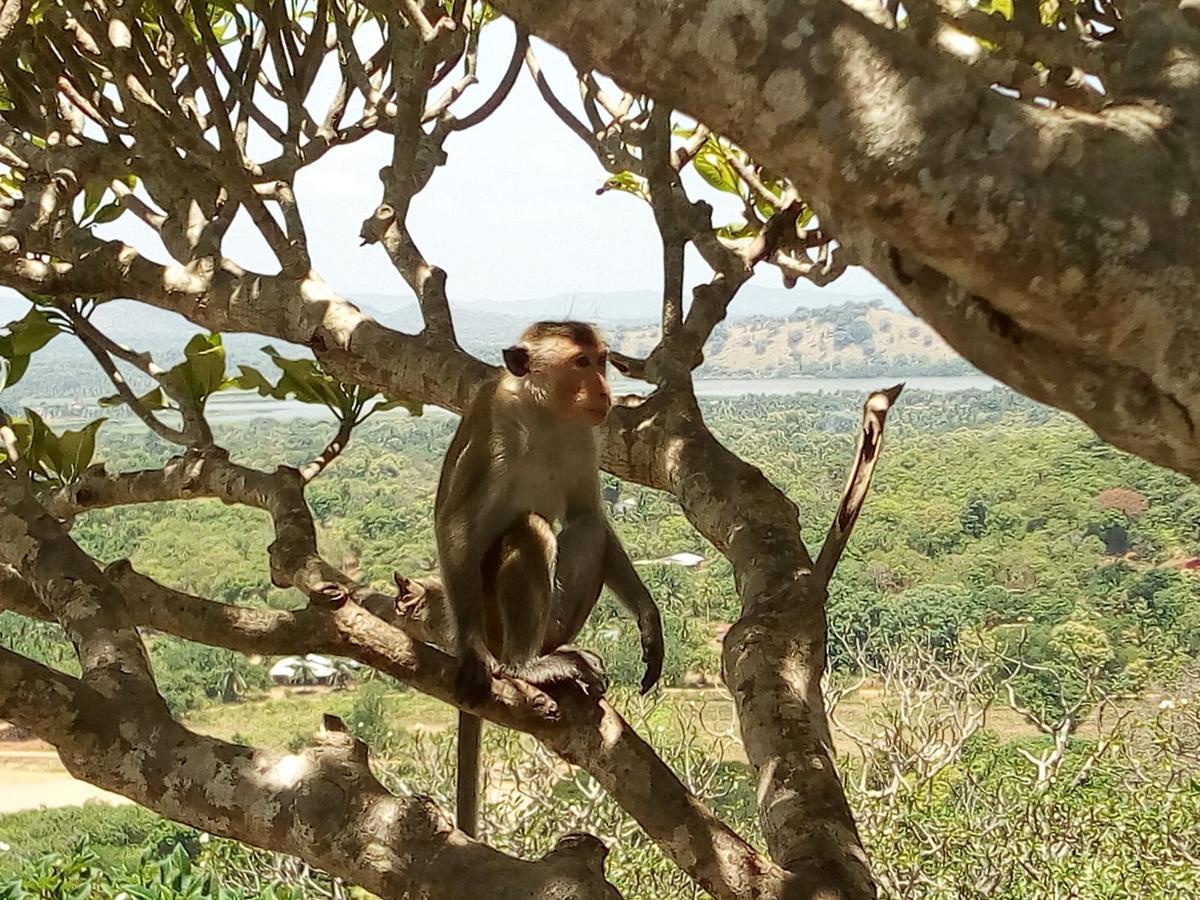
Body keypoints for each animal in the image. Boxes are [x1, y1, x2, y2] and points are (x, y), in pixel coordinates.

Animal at [436, 321, 672, 840]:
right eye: (580, 363)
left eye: (601, 360)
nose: (605, 390)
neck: (544, 413)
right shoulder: (494, 423)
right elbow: (456, 527)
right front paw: (470, 650)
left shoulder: (585, 437)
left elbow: (591, 515)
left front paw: (649, 619)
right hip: (490, 614)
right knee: (531, 529)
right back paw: (524, 665)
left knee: (585, 530)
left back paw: (559, 653)